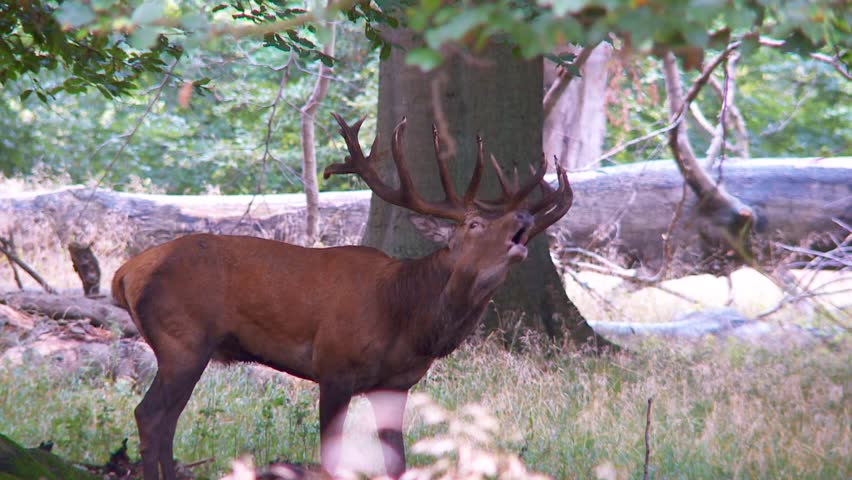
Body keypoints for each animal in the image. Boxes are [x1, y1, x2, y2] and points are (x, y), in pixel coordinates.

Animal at [111, 113, 574, 480]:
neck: (406, 320)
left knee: (167, 421)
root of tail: (125, 273)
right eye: (475, 225)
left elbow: (397, 462)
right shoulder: (333, 365)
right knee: (149, 416)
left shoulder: (397, 384)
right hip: (183, 339)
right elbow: (329, 459)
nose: (524, 216)